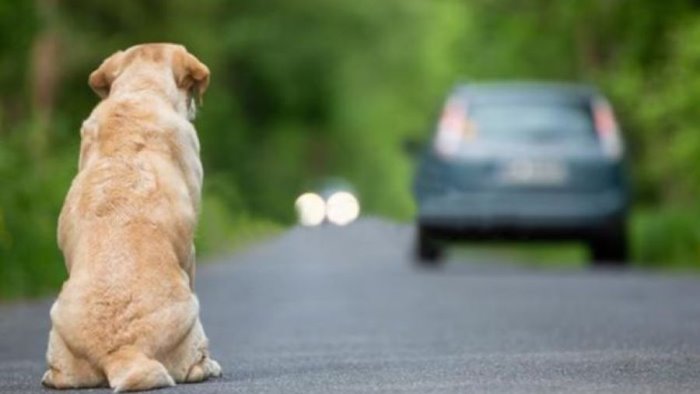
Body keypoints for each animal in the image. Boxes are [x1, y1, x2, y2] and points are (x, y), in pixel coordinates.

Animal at [41, 43, 221, 390]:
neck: (140, 92)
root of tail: (122, 352)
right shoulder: (190, 250)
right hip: (191, 313)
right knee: (193, 364)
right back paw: (208, 367)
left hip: (58, 321)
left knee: (60, 376)